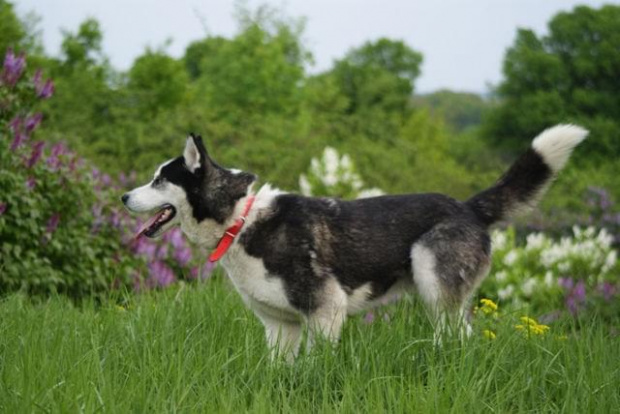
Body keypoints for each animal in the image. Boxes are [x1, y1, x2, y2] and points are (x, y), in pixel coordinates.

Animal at [121, 124, 588, 360]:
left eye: (159, 179)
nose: (123, 197)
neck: (240, 220)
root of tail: (468, 207)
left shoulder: (327, 311)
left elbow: (315, 367)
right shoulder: (281, 327)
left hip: (434, 286)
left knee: (458, 338)